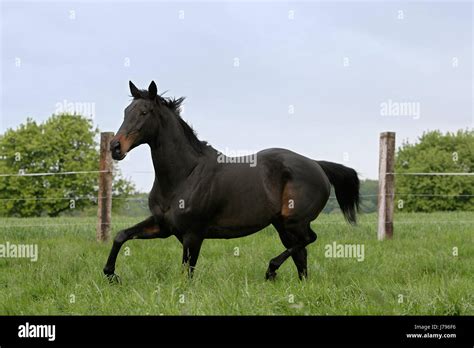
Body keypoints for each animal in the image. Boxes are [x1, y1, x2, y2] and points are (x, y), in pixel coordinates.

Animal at [103, 81, 360, 280]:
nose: (115, 147)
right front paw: (110, 274)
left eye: (144, 112)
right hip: (283, 225)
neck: (184, 175)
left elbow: (187, 273)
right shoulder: (163, 225)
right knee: (301, 255)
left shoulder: (193, 235)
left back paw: (270, 270)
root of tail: (317, 165)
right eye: (126, 111)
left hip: (294, 222)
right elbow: (120, 236)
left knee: (309, 240)